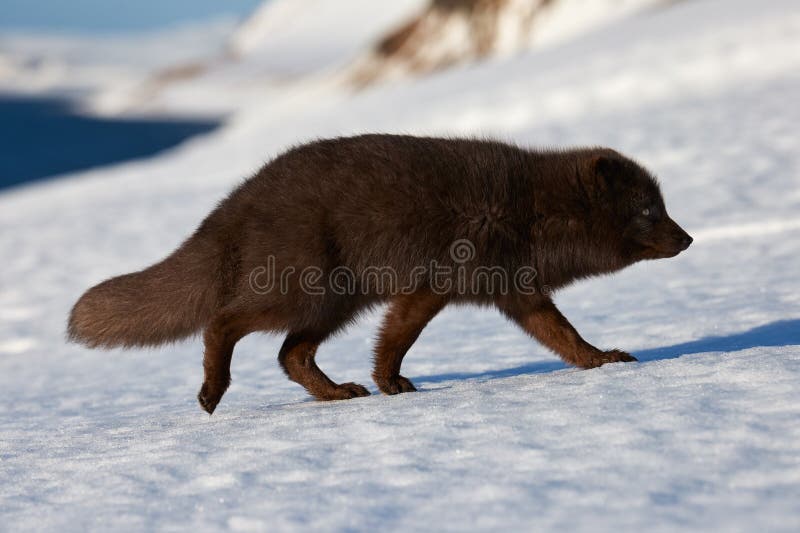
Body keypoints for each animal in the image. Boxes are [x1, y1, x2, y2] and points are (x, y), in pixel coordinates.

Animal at [70, 133, 692, 412]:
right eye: (649, 211)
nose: (688, 238)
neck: (531, 209)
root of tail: (234, 203)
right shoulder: (434, 285)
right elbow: (397, 341)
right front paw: (392, 384)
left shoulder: (517, 293)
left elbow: (565, 337)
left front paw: (602, 361)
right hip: (307, 292)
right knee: (223, 324)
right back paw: (212, 391)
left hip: (337, 303)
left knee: (290, 355)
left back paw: (337, 393)